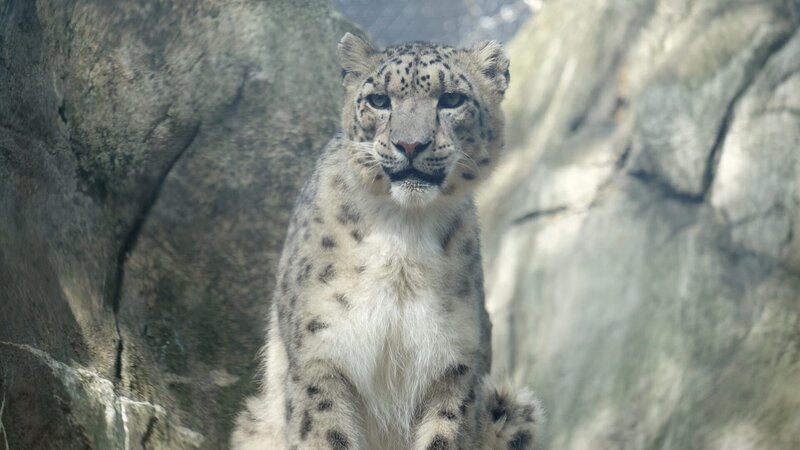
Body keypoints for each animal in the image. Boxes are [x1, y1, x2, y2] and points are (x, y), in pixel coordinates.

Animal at [231, 33, 544, 450]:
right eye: (379, 100)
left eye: (452, 99)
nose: (410, 145)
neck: (404, 236)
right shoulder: (321, 355)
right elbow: (326, 434)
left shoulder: (452, 367)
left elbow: (444, 436)